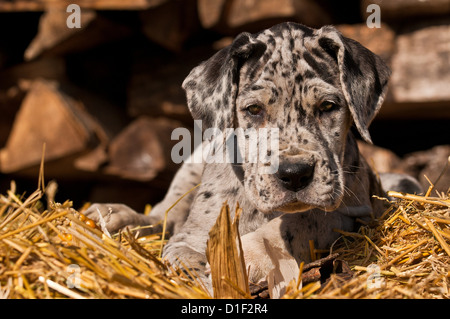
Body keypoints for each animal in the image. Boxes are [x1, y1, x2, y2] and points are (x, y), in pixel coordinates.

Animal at [86, 22, 424, 292]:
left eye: (328, 106)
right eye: (254, 110)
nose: (294, 174)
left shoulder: (353, 211)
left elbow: (305, 218)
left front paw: (251, 252)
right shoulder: (189, 236)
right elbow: (185, 255)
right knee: (161, 215)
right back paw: (114, 214)